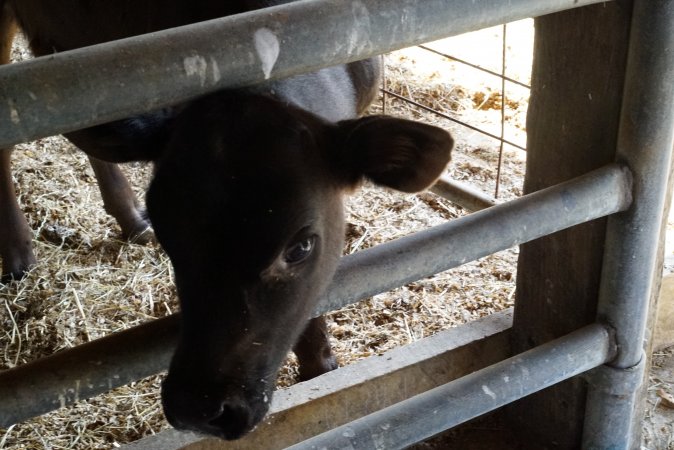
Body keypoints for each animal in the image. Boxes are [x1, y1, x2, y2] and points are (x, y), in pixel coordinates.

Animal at [0, 0, 454, 440]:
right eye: (171, 235)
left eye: (300, 246)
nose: (198, 408)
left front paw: (320, 365)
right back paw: (18, 253)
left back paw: (129, 217)